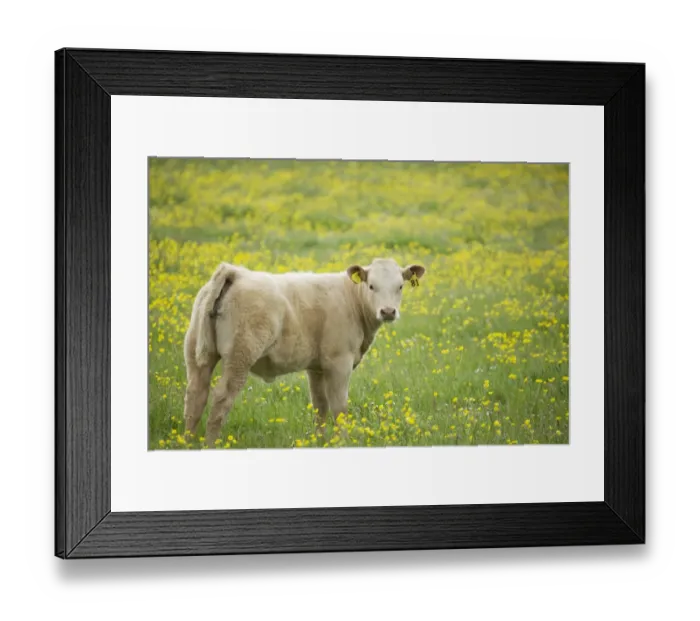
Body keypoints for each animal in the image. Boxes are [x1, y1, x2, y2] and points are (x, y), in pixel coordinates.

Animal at [183, 258, 426, 446]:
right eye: (371, 286)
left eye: (400, 286)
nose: (388, 311)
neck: (352, 300)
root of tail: (237, 273)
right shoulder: (339, 362)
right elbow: (339, 407)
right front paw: (343, 442)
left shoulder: (316, 367)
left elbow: (320, 405)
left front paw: (321, 441)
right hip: (240, 356)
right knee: (221, 397)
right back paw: (210, 444)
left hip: (198, 355)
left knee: (196, 395)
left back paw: (188, 442)